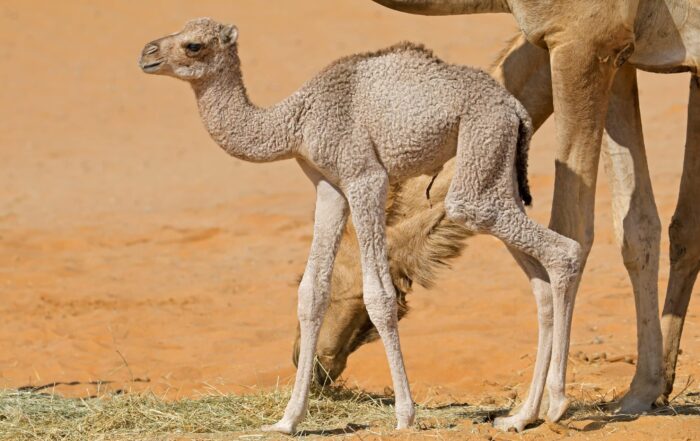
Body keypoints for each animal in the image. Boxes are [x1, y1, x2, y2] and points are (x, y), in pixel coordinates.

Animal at [139, 18, 582, 433]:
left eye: (193, 45)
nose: (147, 53)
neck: (297, 121)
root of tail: (515, 110)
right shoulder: (327, 185)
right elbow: (311, 293)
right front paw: (287, 421)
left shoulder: (364, 177)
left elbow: (379, 295)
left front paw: (405, 415)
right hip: (496, 171)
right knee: (539, 281)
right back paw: (521, 417)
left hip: (479, 157)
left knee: (564, 250)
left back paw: (557, 403)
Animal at [365, 0, 700, 411]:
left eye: (397, 275)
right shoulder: (620, 56)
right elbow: (639, 226)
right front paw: (643, 391)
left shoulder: (585, 40)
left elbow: (571, 229)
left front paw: (540, 406)